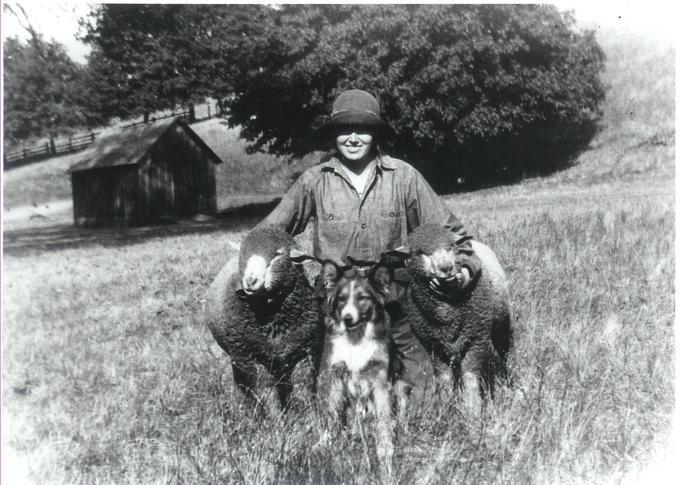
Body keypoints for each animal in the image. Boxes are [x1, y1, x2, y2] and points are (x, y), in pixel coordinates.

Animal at [205, 227, 324, 412]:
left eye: (278, 254)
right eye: (243, 253)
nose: (250, 281)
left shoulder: (306, 353)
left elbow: (304, 387)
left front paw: (310, 415)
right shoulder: (251, 359)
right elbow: (266, 393)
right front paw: (276, 418)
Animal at [316, 260, 396, 476]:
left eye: (362, 298)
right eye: (341, 299)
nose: (347, 318)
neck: (356, 338)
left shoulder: (381, 380)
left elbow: (384, 419)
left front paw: (385, 450)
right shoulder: (335, 377)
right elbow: (331, 414)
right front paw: (325, 444)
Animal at [394, 225, 510, 414]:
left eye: (451, 246)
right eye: (419, 252)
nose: (446, 267)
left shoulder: (477, 340)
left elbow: (470, 378)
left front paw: (473, 412)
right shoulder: (434, 347)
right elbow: (444, 379)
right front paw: (445, 409)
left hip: (502, 323)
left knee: (504, 353)